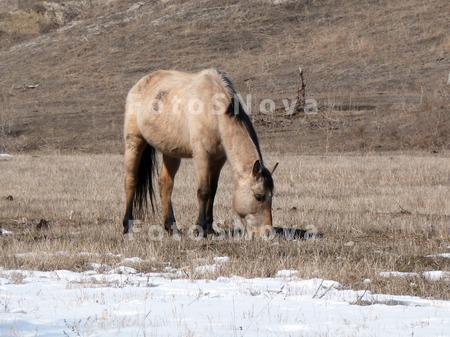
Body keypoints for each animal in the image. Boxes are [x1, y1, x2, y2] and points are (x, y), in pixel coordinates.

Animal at [123, 67, 278, 236]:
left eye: (272, 196)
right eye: (258, 196)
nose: (267, 233)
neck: (215, 112)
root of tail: (139, 85)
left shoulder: (219, 159)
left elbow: (213, 189)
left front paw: (210, 229)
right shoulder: (202, 156)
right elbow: (203, 191)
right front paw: (200, 229)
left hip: (170, 152)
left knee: (165, 184)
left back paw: (171, 227)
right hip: (134, 141)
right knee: (131, 180)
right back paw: (127, 225)